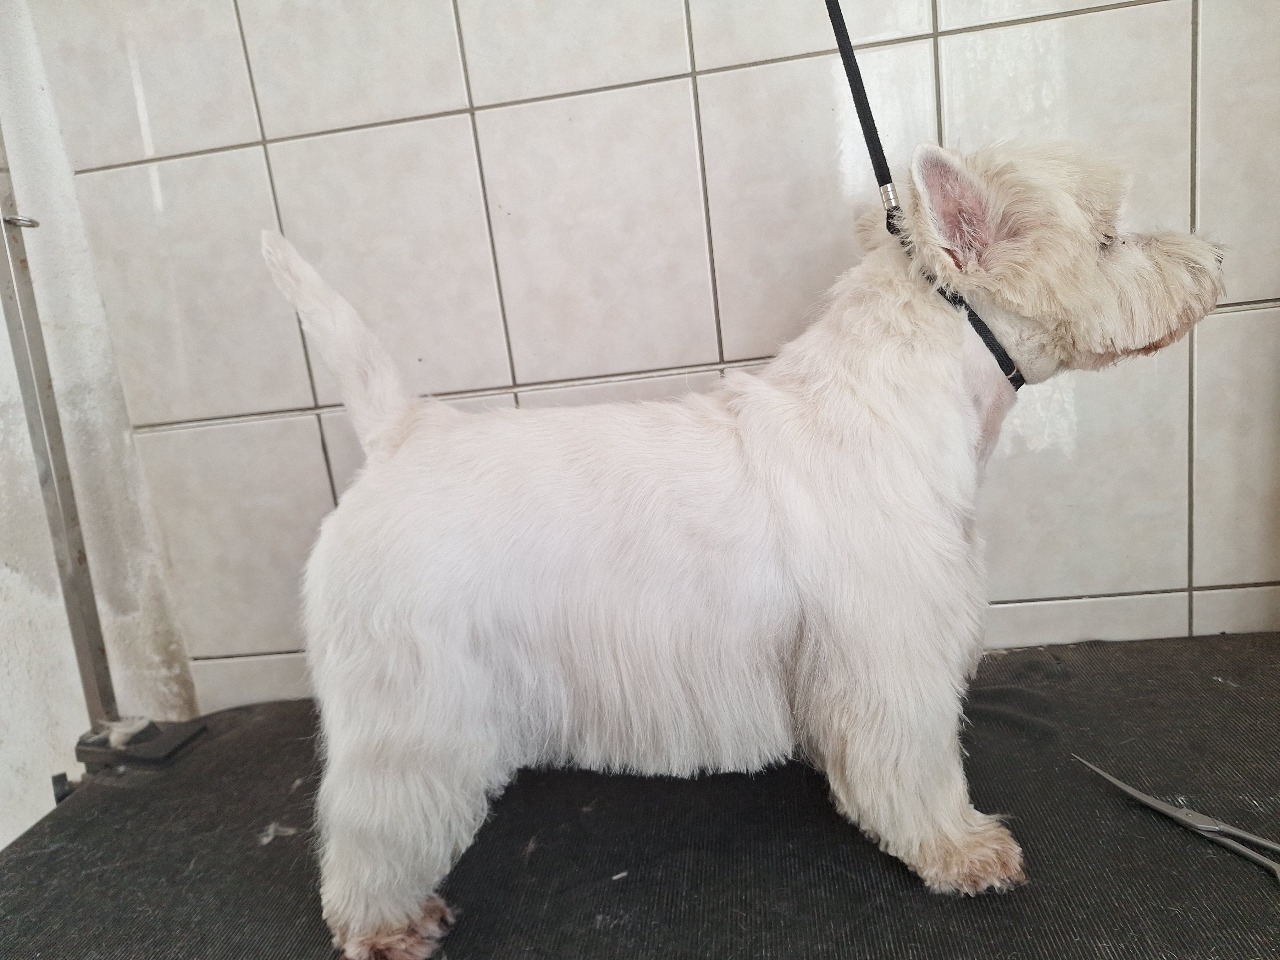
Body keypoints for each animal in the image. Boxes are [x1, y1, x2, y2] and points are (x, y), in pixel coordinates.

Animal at [262, 142, 1223, 960]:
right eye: (1108, 239)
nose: (1214, 256)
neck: (903, 403)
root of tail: (399, 434)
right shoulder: (895, 655)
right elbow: (918, 766)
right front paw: (963, 851)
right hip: (410, 704)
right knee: (369, 825)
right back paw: (386, 923)